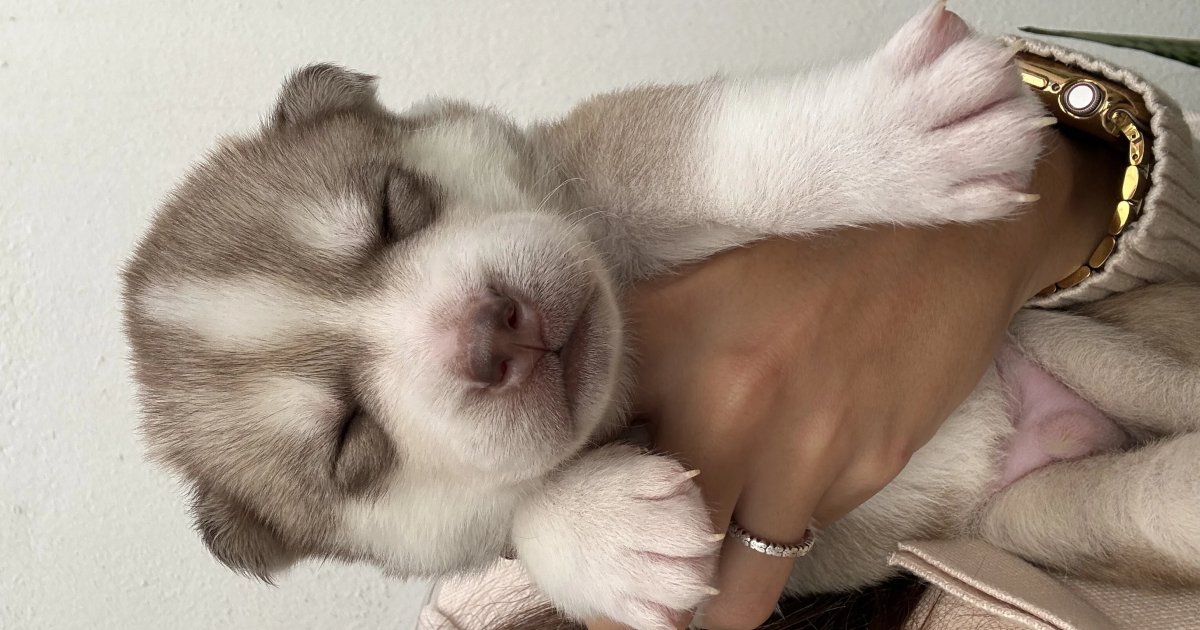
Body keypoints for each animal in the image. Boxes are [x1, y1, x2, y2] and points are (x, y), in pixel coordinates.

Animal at [121, 3, 1200, 628]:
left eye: (394, 211)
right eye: (350, 444)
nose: (493, 331)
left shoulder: (591, 164)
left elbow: (692, 153)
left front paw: (883, 134)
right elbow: (511, 518)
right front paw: (604, 532)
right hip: (1051, 508)